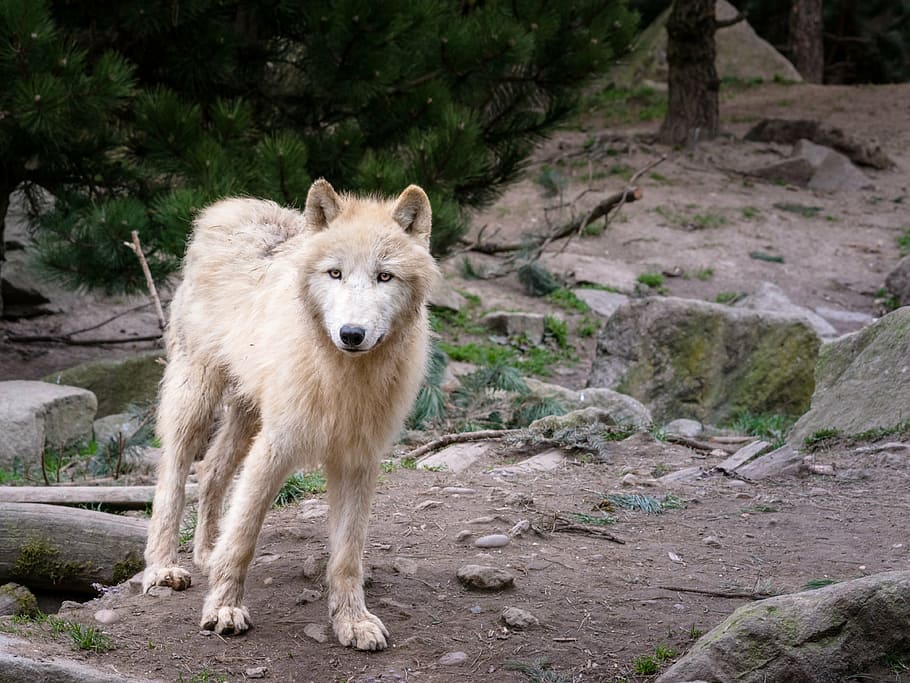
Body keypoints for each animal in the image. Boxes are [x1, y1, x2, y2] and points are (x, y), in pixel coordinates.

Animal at [142, 179, 439, 651]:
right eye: (335, 273)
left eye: (384, 276)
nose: (351, 334)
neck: (344, 377)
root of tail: (230, 206)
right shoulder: (275, 447)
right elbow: (244, 536)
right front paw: (224, 609)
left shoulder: (358, 461)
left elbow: (347, 555)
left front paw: (352, 621)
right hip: (197, 397)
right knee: (173, 474)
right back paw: (163, 566)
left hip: (246, 416)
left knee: (211, 470)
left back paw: (206, 552)